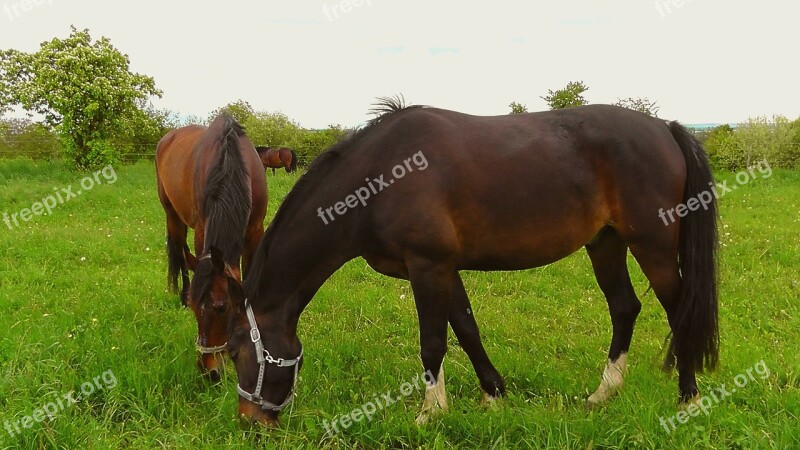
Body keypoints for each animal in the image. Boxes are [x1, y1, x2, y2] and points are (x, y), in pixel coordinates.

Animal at [155, 114, 268, 382]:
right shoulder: (202, 229)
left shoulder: (255, 232)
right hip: (172, 215)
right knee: (180, 255)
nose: (209, 372)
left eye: (221, 307)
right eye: (196, 308)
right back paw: (182, 294)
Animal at [223, 99, 720, 426]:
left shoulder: (427, 267)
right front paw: (492, 395)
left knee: (679, 309)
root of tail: (664, 127)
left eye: (235, 352)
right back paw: (603, 393)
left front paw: (429, 414)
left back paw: (689, 399)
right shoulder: (442, 269)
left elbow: (433, 342)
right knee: (624, 307)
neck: (379, 177)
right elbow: (466, 328)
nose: (250, 420)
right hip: (606, 243)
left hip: (652, 245)